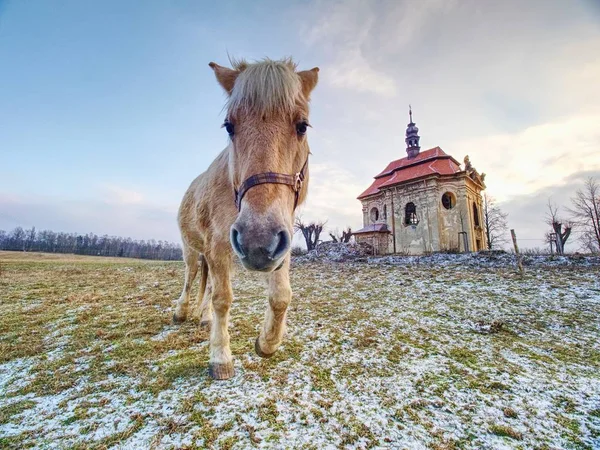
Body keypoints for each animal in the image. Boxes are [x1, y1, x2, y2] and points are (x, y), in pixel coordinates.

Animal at [171, 56, 318, 380]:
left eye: (302, 126)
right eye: (229, 126)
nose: (256, 240)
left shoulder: (280, 242)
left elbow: (281, 296)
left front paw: (266, 343)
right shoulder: (217, 246)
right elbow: (222, 299)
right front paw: (220, 358)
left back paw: (202, 317)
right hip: (192, 248)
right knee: (191, 276)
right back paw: (182, 311)